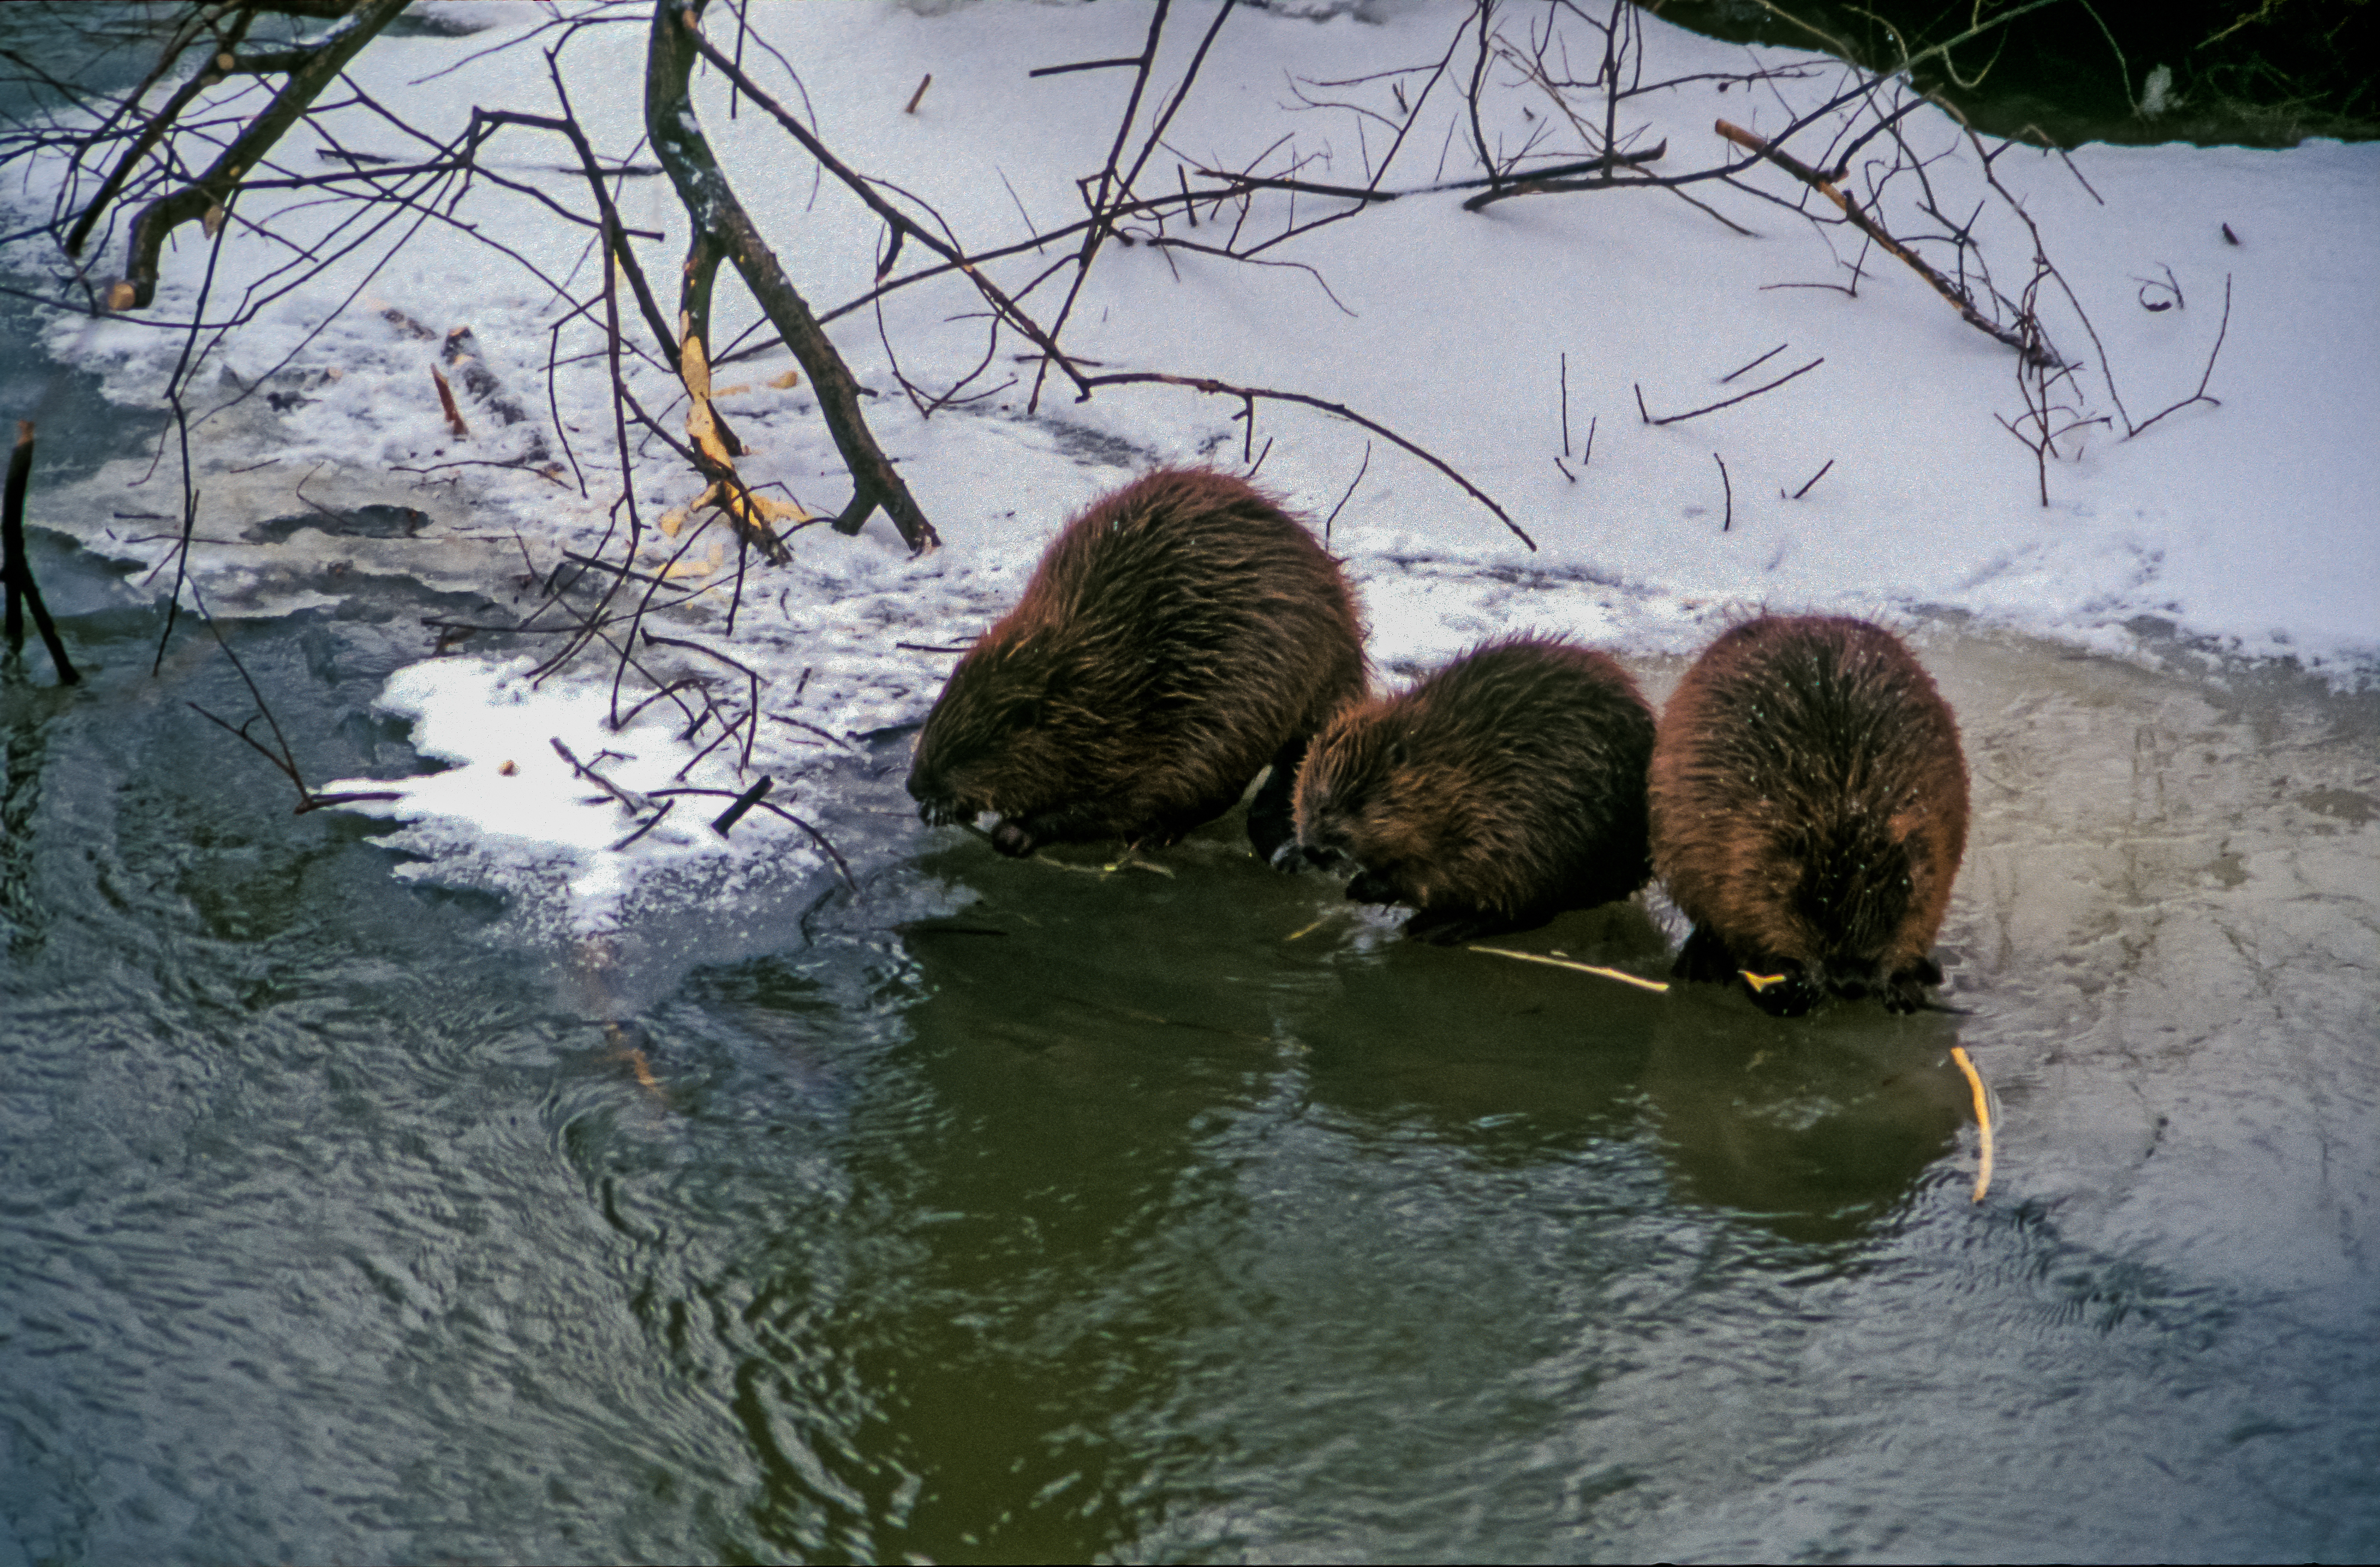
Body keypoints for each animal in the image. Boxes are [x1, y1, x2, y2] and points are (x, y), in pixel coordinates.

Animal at [904, 464, 1371, 852]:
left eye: (975, 749)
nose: (913, 786)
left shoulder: (1175, 730)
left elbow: (1124, 803)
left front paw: (1015, 832)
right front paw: (940, 811)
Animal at [1285, 633, 1656, 938]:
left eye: (1357, 802)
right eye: (1305, 799)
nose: (1313, 848)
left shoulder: (1509, 810)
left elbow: (1453, 872)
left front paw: (1368, 886)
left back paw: (1440, 928)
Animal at [1656, 609, 1970, 1014]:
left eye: (1894, 904)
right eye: (1815, 907)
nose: (1851, 983)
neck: (1846, 794)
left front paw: (1906, 986)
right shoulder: (1729, 824)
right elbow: (1735, 897)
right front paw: (1781, 988)